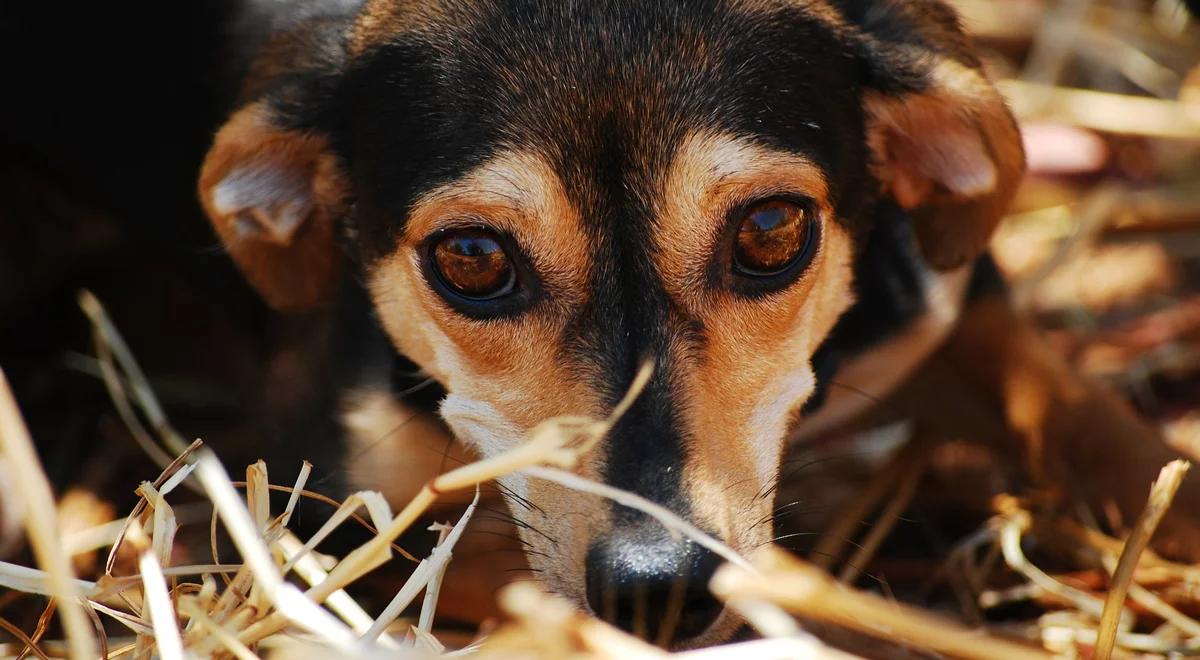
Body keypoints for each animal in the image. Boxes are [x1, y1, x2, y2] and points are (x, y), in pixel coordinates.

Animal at [196, 1, 1200, 652]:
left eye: (771, 231)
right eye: (472, 258)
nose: (659, 589)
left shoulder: (949, 304)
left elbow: (1104, 430)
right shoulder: (335, 516)